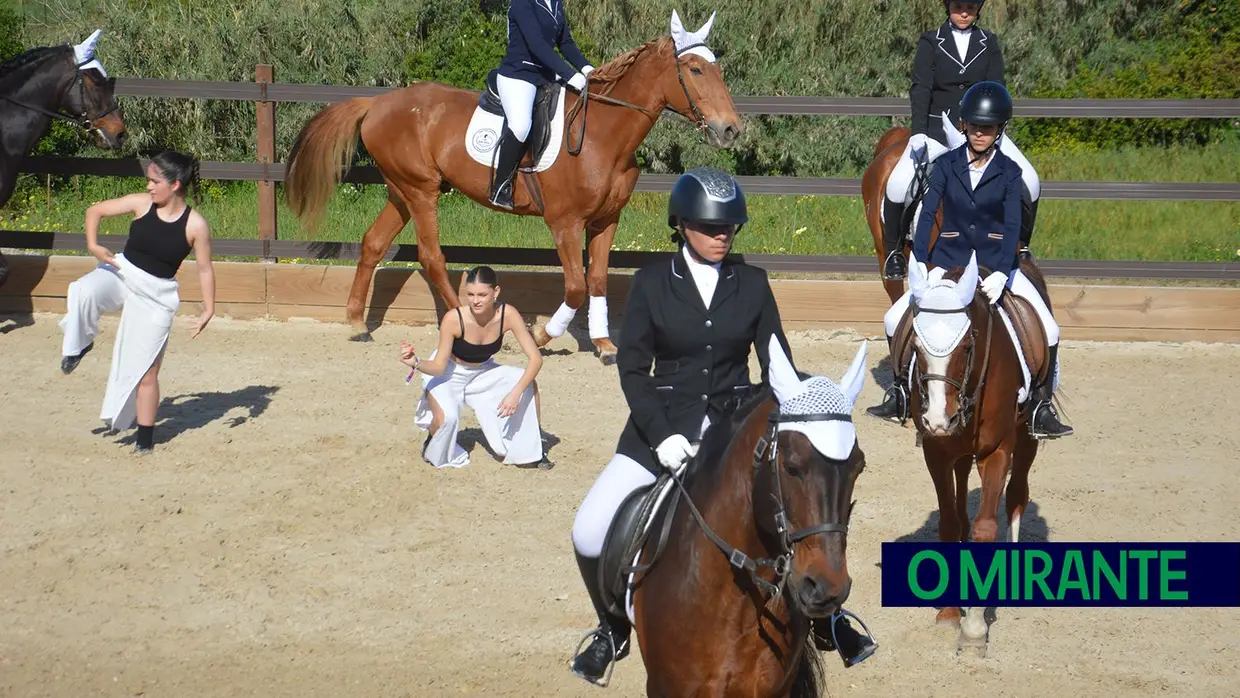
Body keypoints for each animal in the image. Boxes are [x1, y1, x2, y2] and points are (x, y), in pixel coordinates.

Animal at [285, 9, 739, 366]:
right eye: (695, 70)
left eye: (717, 68)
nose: (730, 130)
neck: (603, 133)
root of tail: (378, 103)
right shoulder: (565, 223)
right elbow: (576, 288)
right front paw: (541, 336)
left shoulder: (606, 221)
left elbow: (597, 282)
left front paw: (605, 344)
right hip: (420, 191)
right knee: (432, 257)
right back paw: (465, 322)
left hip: (401, 191)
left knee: (373, 243)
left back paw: (356, 323)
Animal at [897, 254, 1051, 659]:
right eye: (916, 346)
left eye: (967, 345)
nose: (938, 419)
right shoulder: (936, 452)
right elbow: (950, 524)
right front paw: (951, 612)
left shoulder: (997, 451)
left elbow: (986, 529)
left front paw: (975, 629)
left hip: (1025, 439)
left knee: (1017, 496)